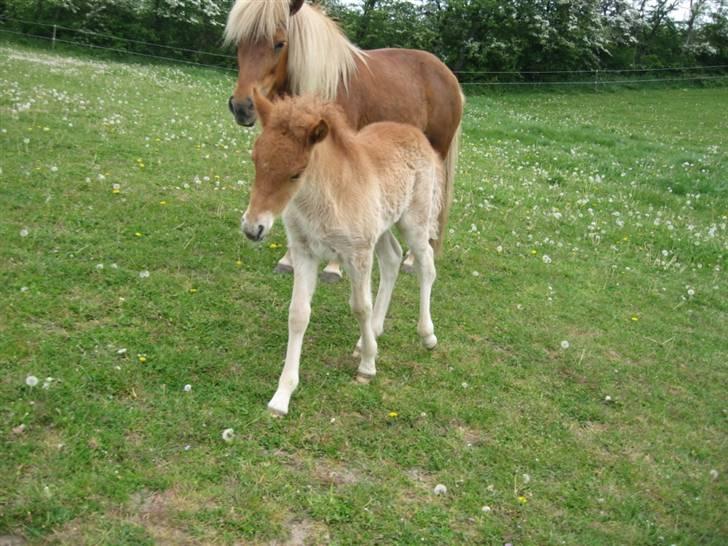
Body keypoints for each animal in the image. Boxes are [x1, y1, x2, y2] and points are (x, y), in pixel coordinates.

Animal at [223, 0, 460, 278]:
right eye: (239, 42)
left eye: (279, 43)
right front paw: (289, 260)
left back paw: (412, 260)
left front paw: (333, 268)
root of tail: (447, 75)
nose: (241, 107)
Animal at [245, 89, 450, 414]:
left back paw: (427, 335)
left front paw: (367, 367)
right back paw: (371, 336)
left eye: (297, 173)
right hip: (380, 226)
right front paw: (282, 395)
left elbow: (360, 306)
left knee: (426, 266)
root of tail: (416, 135)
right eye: (255, 159)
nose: (253, 228)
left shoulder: (357, 254)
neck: (322, 199)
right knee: (392, 259)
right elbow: (298, 314)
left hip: (413, 221)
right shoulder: (304, 252)